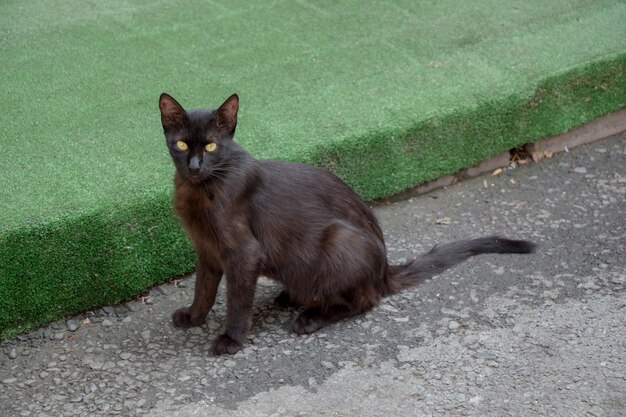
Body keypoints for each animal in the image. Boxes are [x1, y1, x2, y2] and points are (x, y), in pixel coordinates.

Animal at [158, 92, 532, 352]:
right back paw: (290, 297)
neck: (199, 190)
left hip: (339, 241)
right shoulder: (207, 251)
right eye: (181, 144)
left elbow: (237, 301)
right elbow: (204, 289)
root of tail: (384, 270)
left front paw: (232, 340)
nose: (194, 166)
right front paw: (193, 317)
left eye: (210, 146)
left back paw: (309, 318)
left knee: (363, 300)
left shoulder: (243, 253)